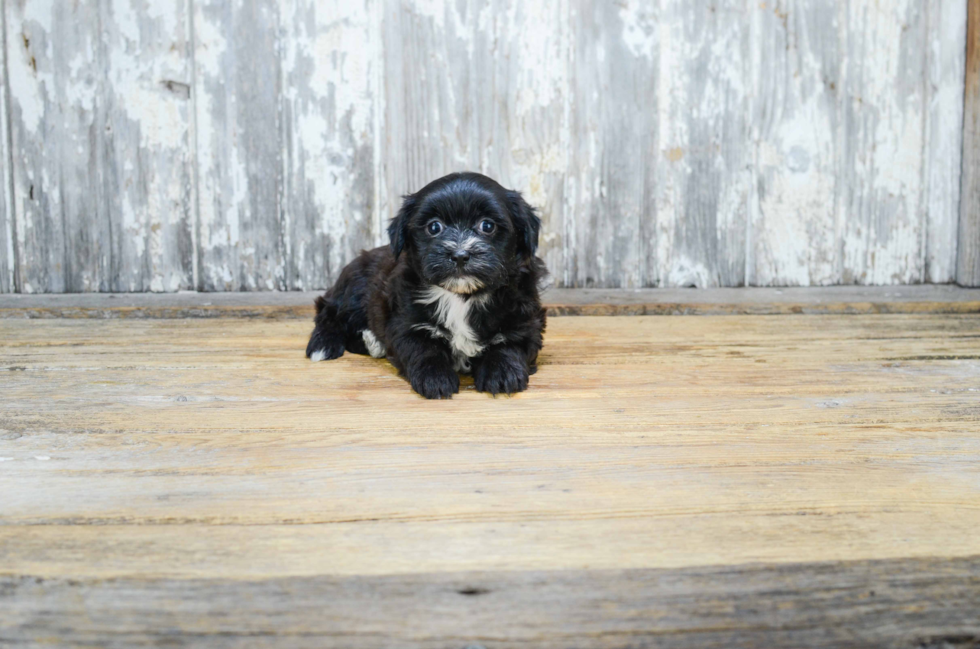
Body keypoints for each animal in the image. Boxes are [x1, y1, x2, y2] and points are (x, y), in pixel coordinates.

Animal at [306, 170, 548, 398]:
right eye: (434, 227)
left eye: (487, 226)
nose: (460, 255)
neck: (461, 297)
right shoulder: (405, 322)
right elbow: (423, 348)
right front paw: (435, 378)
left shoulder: (525, 319)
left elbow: (510, 343)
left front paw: (502, 372)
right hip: (355, 285)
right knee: (329, 312)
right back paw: (324, 344)